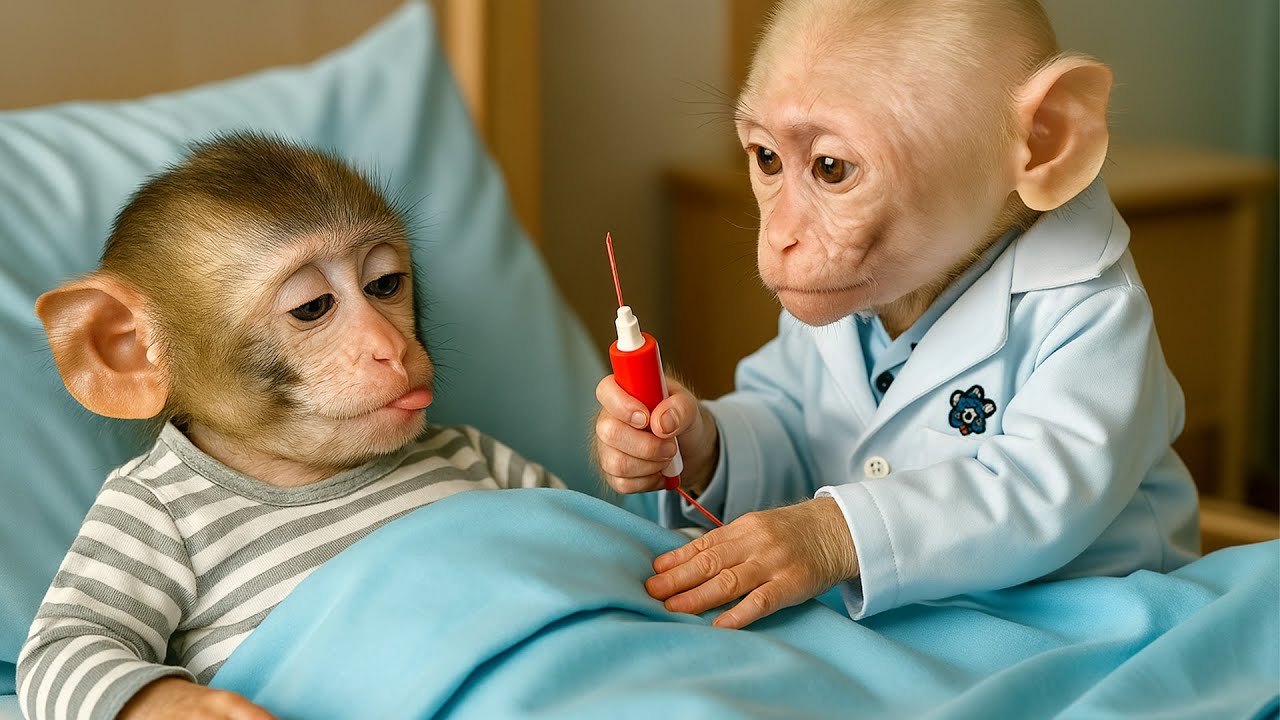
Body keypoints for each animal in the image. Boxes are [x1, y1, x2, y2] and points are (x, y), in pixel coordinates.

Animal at [17, 133, 563, 720]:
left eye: (385, 284)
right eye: (313, 306)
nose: (391, 349)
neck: (302, 473)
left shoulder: (472, 439)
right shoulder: (137, 503)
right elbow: (72, 640)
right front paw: (206, 707)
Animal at [595, 0, 1198, 630]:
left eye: (830, 168)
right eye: (767, 159)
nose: (780, 239)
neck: (923, 296)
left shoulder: (1099, 319)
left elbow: (1038, 479)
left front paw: (788, 541)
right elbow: (779, 422)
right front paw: (651, 436)